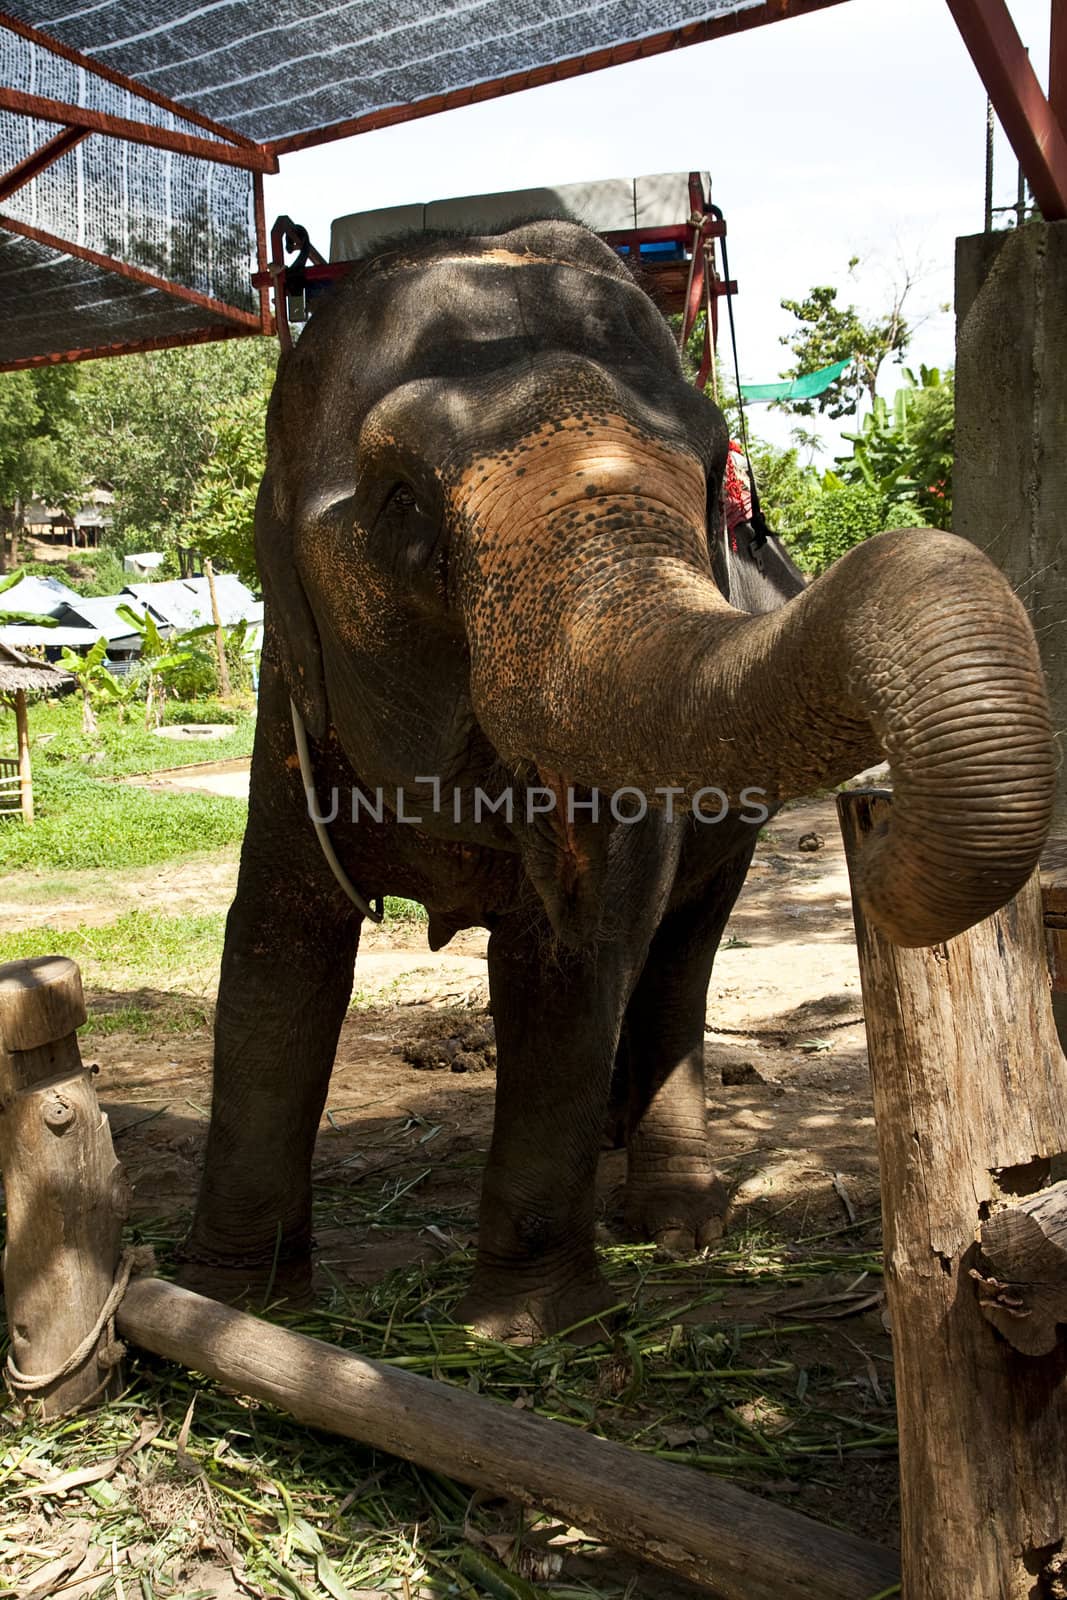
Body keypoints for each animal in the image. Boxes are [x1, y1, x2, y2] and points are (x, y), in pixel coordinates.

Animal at [179, 216, 1055, 1337]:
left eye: (716, 467)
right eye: (401, 501)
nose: (884, 833)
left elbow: (568, 963)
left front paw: (527, 1330)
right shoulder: (289, 707)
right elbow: (274, 948)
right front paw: (226, 1308)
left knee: (677, 960)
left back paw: (675, 1224)